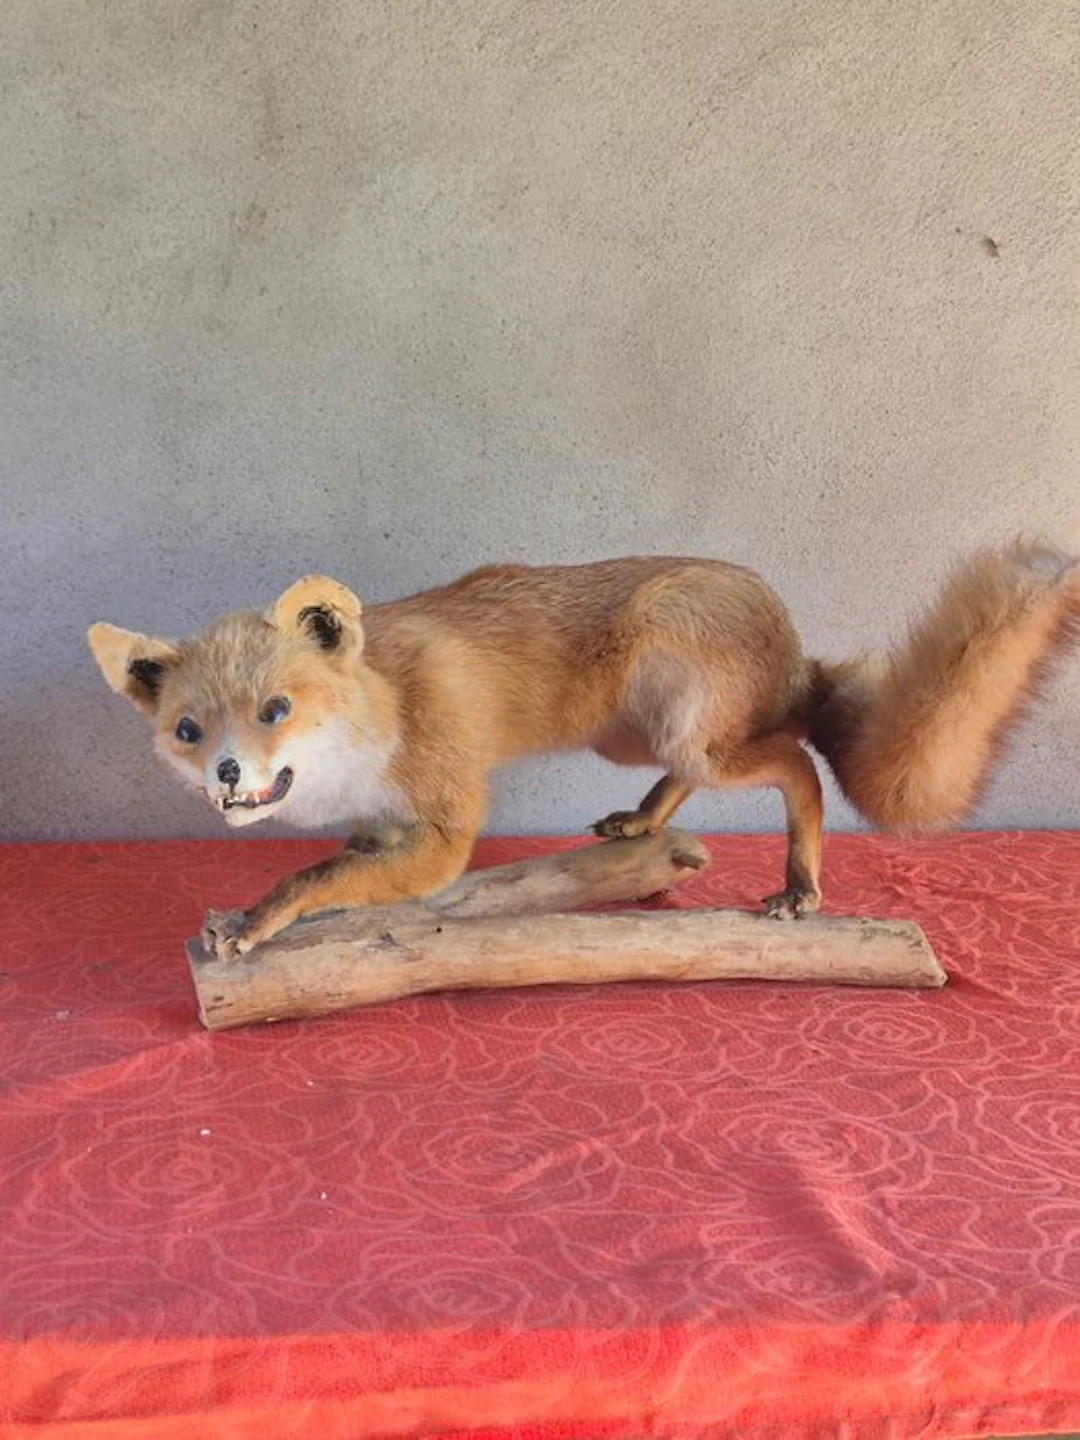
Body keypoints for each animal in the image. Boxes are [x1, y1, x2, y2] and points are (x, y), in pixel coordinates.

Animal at [87, 538, 1079, 961]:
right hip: (632, 737)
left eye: (275, 708)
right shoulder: (383, 823)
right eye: (188, 731)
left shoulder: (445, 828)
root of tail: (791, 644)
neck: (382, 711)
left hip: (690, 721)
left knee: (797, 761)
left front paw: (258, 920)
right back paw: (643, 823)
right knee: (705, 770)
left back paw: (801, 884)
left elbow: (316, 878)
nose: (227, 777)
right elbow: (348, 863)